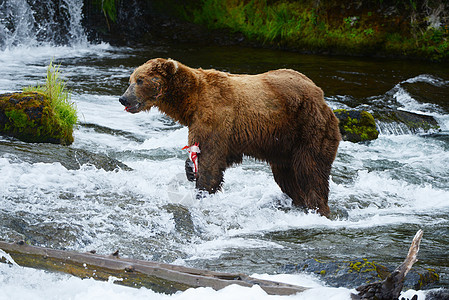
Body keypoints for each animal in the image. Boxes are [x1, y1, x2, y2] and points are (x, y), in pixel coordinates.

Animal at [119, 58, 340, 216]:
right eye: (130, 80)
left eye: (140, 80)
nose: (123, 98)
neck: (189, 101)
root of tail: (320, 95)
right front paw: (190, 169)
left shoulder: (214, 117)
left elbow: (211, 160)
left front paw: (202, 192)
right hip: (282, 144)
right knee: (286, 176)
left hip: (308, 128)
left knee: (310, 170)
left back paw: (317, 208)